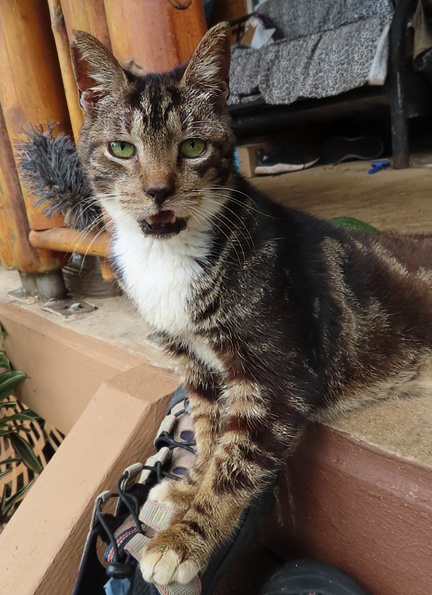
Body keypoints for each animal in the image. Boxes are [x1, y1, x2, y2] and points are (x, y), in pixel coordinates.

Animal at [72, 23, 432, 588]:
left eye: (193, 147)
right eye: (121, 148)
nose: (158, 190)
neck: (167, 253)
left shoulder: (275, 377)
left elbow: (236, 461)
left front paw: (185, 540)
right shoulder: (195, 368)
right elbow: (206, 431)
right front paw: (188, 485)